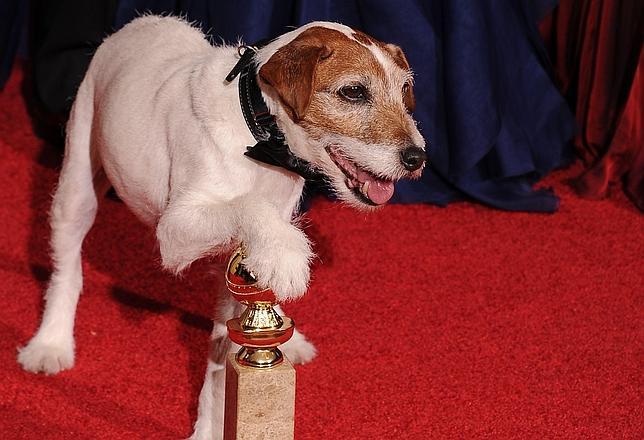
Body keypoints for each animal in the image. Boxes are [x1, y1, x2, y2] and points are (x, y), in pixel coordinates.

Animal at [17, 16, 426, 440]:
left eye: (404, 90)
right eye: (354, 92)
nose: (418, 158)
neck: (259, 133)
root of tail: (144, 20)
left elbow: (221, 359)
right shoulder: (175, 231)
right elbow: (249, 204)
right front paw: (287, 257)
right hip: (77, 184)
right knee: (67, 269)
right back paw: (51, 344)